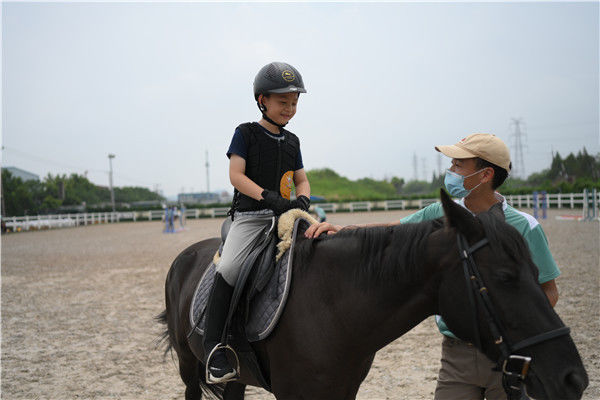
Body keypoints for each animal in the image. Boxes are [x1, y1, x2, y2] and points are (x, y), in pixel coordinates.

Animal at [158, 191, 584, 400]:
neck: (330, 305)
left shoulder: (342, 391)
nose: (574, 379)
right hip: (190, 365)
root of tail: (185, 255)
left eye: (537, 274)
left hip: (237, 375)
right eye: (504, 277)